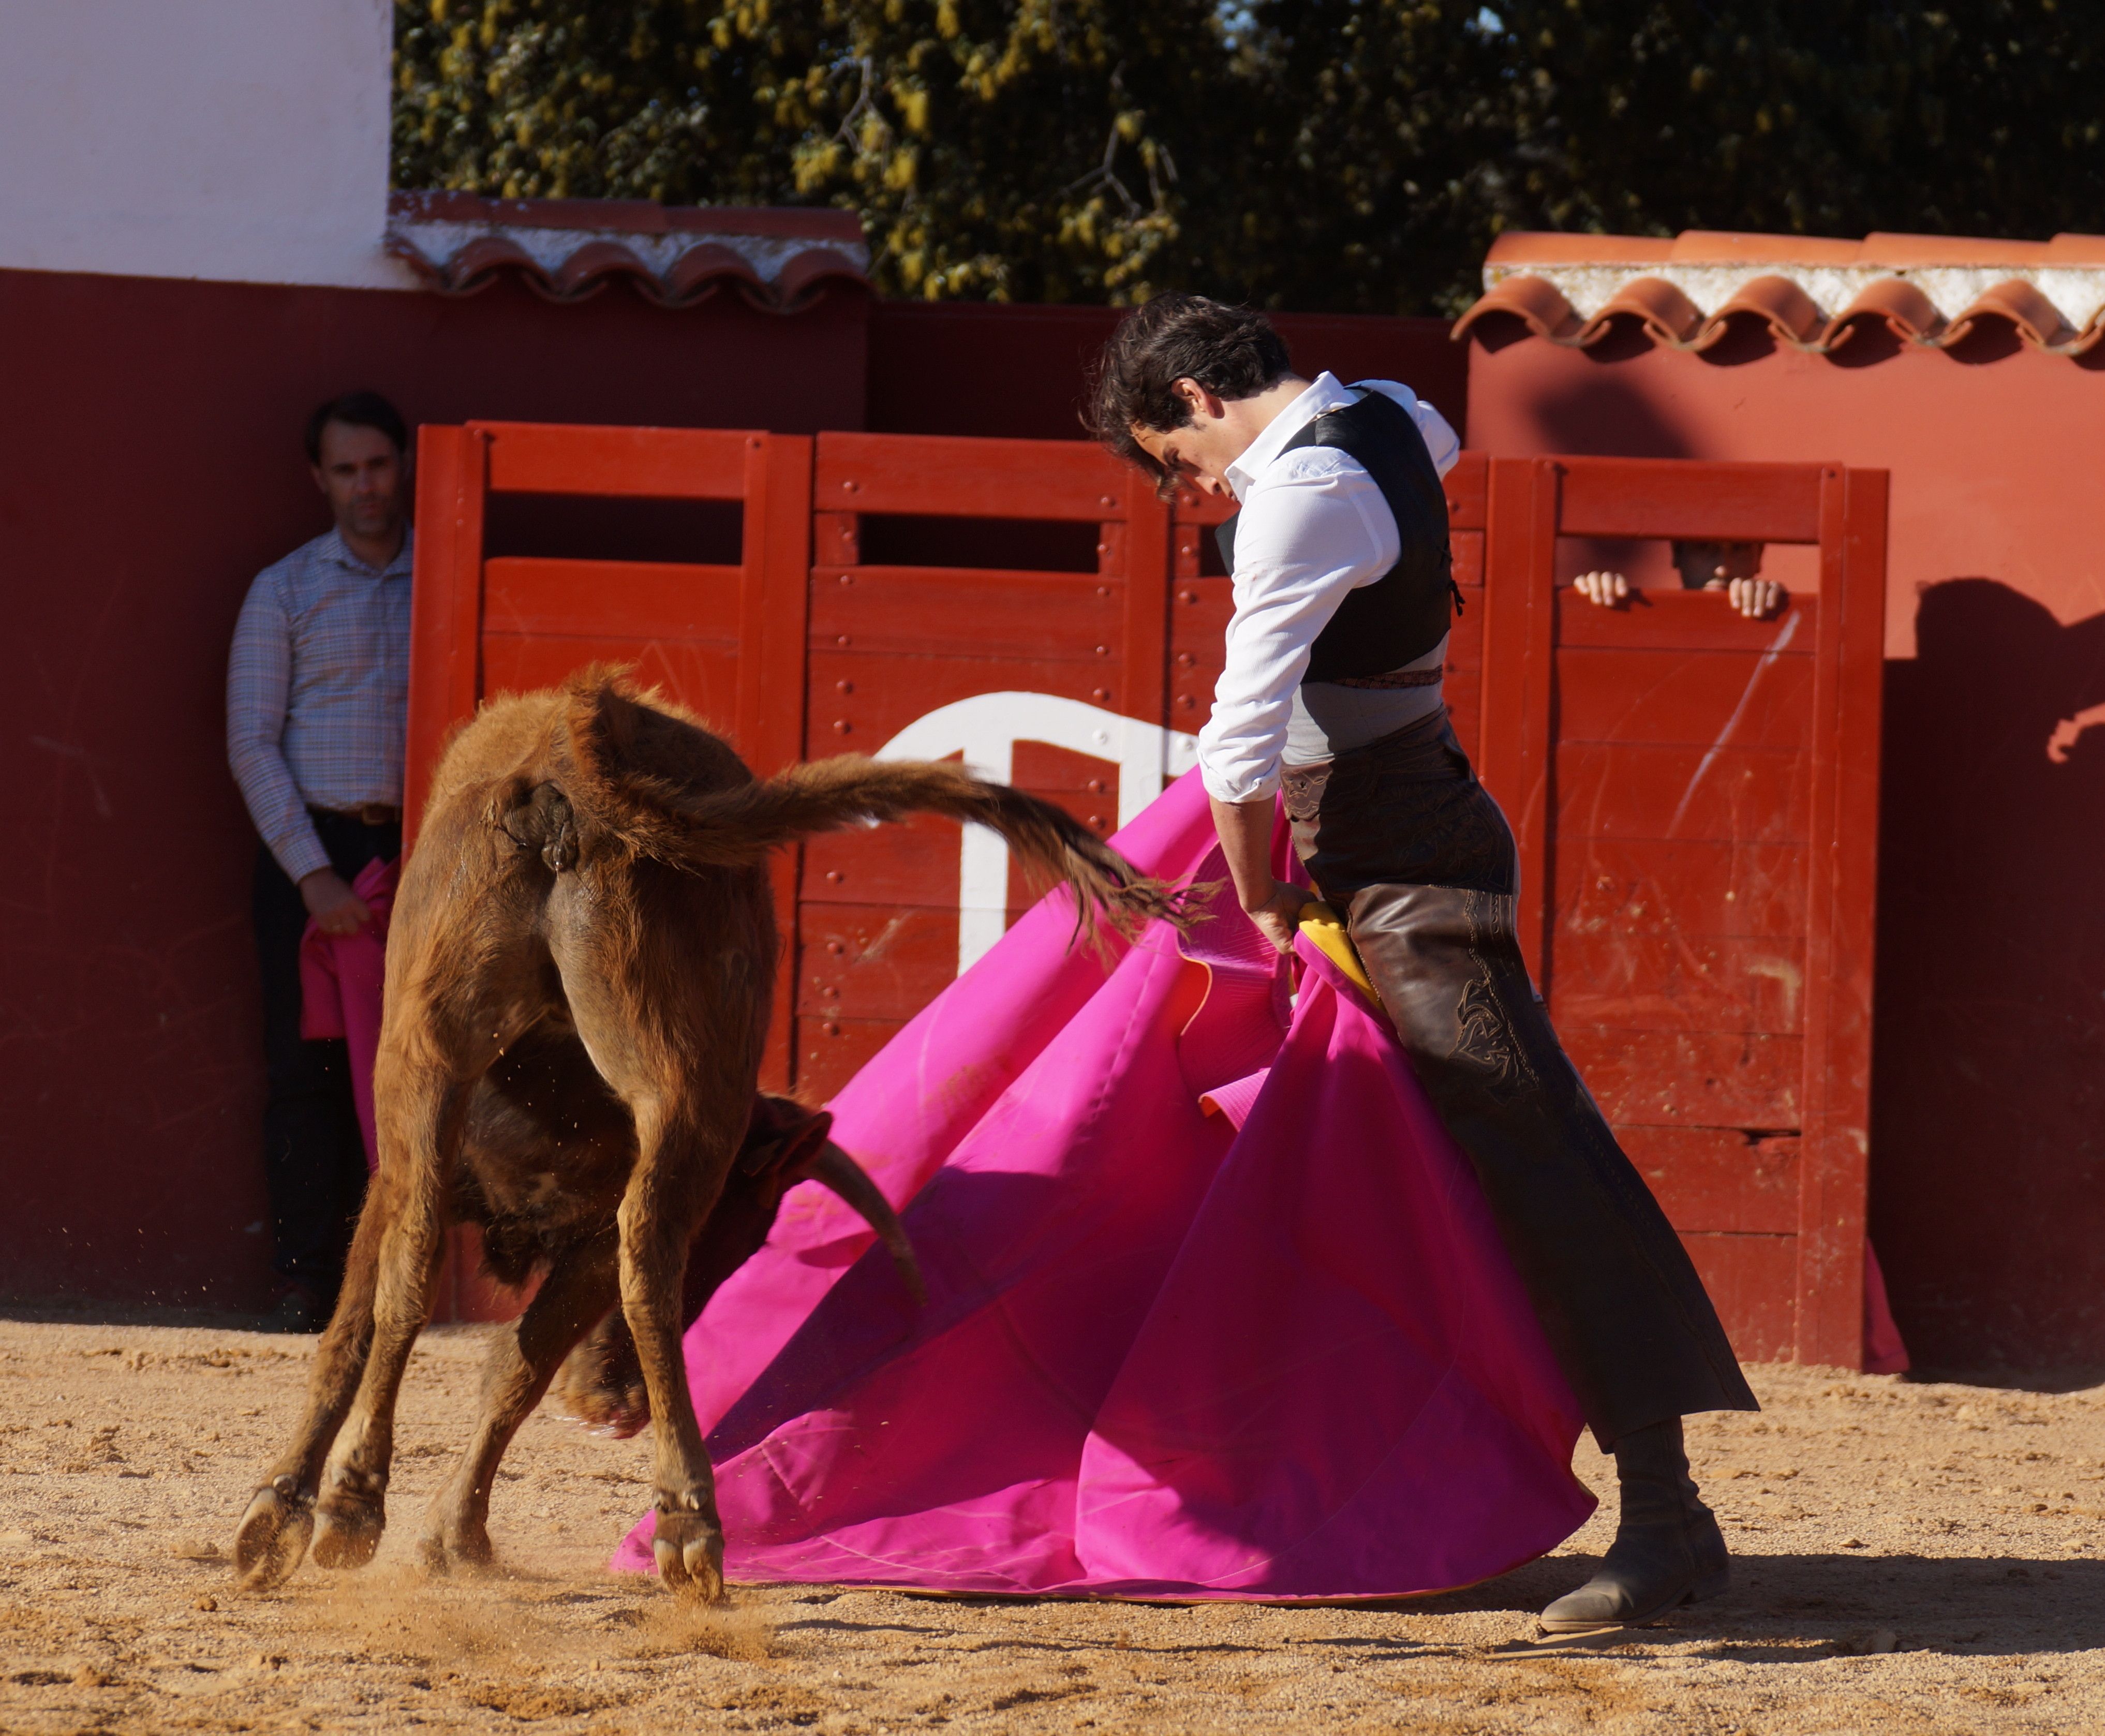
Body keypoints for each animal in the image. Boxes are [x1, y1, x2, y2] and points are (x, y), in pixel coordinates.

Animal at [234, 669, 1187, 1591]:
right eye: (737, 1242)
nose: (621, 1406)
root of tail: (572, 752)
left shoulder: (485, 1196)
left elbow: (489, 1357)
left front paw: (425, 1532)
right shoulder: (434, 1184)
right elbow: (416, 1342)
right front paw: (346, 1517)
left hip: (458, 1066)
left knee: (456, 1256)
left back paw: (384, 1504)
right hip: (618, 1087)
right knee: (583, 1257)